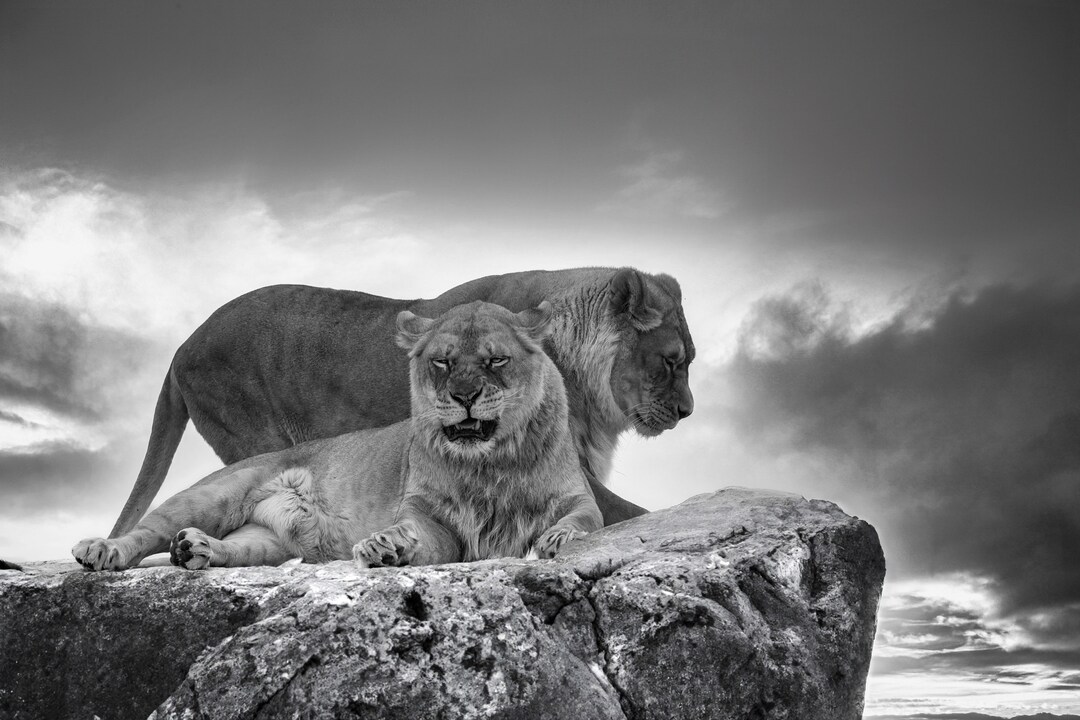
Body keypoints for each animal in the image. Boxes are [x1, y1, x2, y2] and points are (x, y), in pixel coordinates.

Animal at [73, 301, 602, 571]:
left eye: (496, 360)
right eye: (442, 362)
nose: (464, 395)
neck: (490, 462)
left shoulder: (578, 497)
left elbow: (582, 520)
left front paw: (556, 539)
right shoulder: (423, 512)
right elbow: (428, 539)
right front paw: (388, 547)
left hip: (272, 543)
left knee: (239, 552)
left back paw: (196, 550)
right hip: (212, 493)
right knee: (146, 532)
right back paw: (102, 551)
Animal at [109, 267, 695, 539]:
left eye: (689, 359)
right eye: (670, 361)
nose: (688, 411)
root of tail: (181, 346)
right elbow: (635, 511)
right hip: (255, 437)